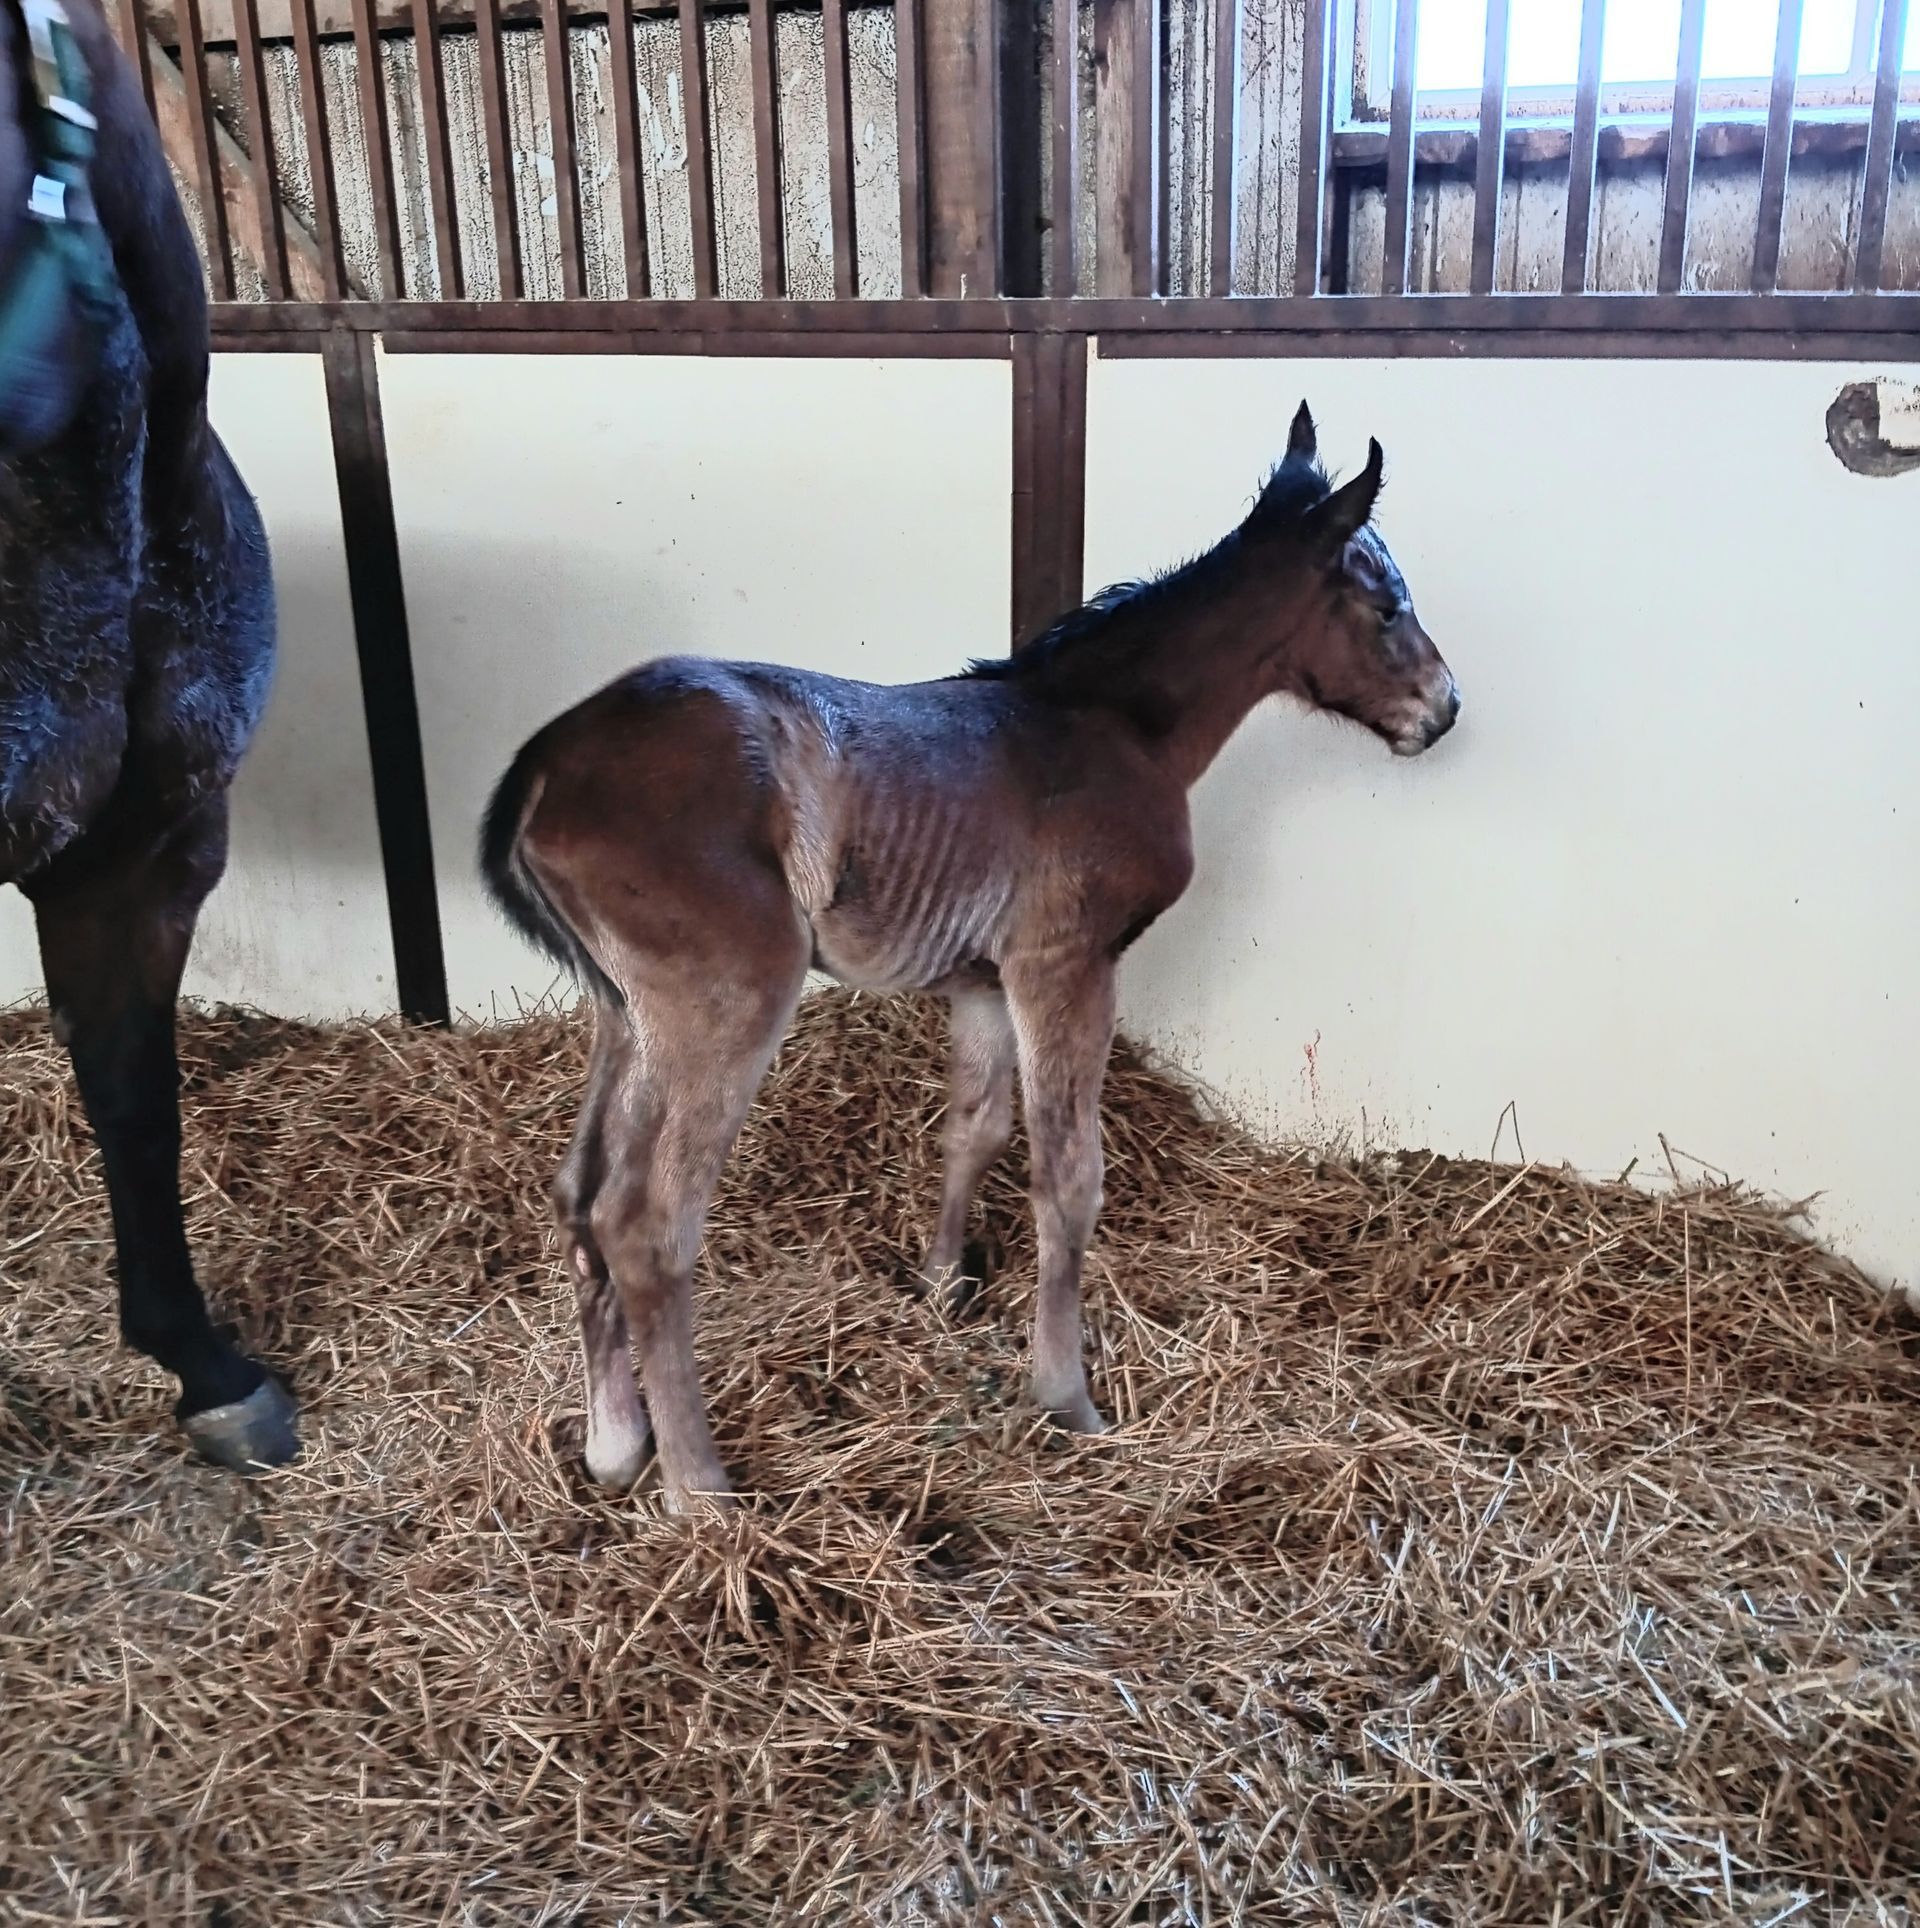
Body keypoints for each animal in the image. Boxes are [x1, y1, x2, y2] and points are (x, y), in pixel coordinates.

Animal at [482, 403, 1459, 1515]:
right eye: (1386, 606)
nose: (1444, 709)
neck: (1114, 728)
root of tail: (547, 762)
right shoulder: (1067, 963)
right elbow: (1069, 1175)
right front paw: (1065, 1393)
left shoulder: (987, 982)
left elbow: (974, 1130)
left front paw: (943, 1287)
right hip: (727, 999)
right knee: (648, 1224)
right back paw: (701, 1488)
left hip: (625, 1011)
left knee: (582, 1193)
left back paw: (615, 1442)